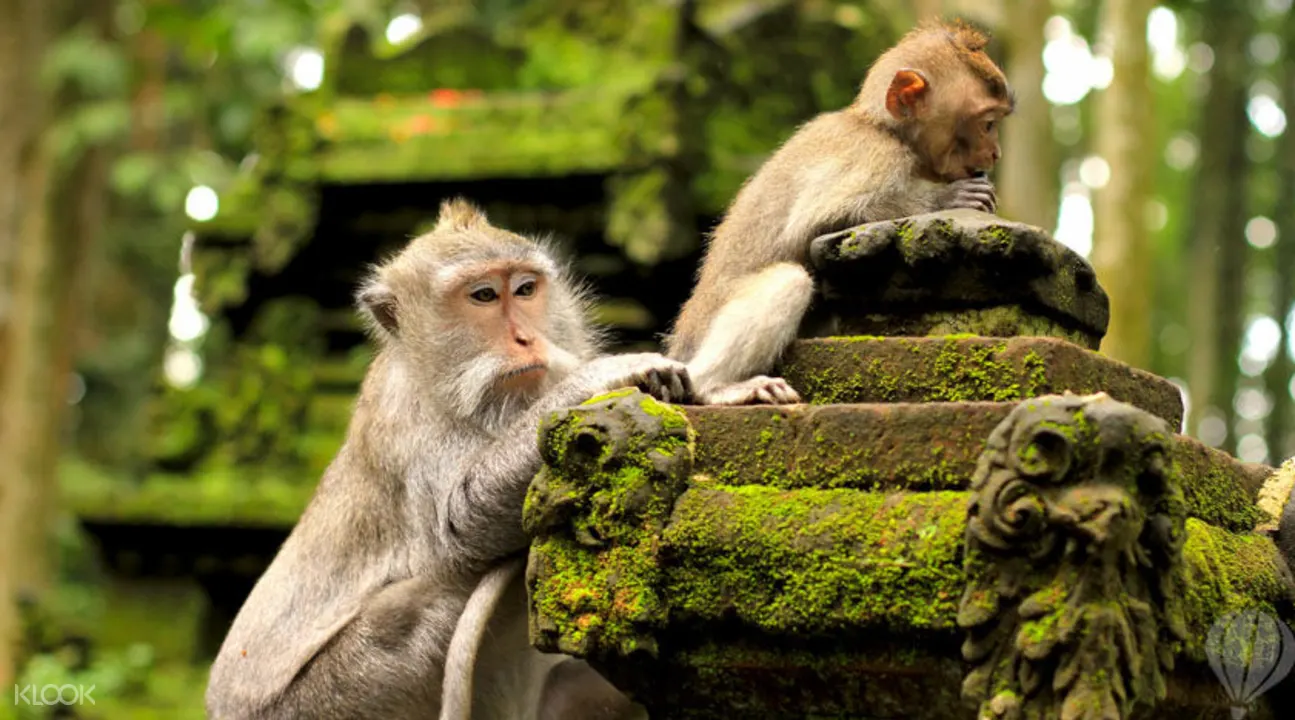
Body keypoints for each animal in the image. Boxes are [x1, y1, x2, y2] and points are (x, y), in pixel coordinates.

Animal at [203, 198, 683, 720]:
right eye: (484, 296)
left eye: (525, 290)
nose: (525, 339)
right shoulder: (408, 421)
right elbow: (460, 525)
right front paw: (600, 377)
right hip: (337, 696)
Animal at [668, 21, 1010, 404]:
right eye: (988, 124)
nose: (995, 153)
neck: (882, 127)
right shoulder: (876, 156)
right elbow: (814, 221)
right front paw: (947, 198)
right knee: (789, 280)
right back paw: (714, 387)